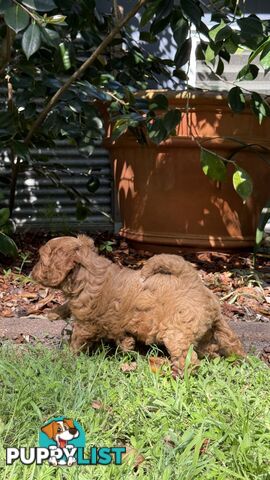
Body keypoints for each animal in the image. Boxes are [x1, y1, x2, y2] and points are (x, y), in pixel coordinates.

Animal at [32, 234, 245, 376]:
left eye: (41, 259)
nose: (32, 273)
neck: (87, 274)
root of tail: (192, 281)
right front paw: (54, 312)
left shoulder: (87, 323)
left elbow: (77, 339)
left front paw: (66, 356)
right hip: (214, 326)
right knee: (228, 343)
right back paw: (238, 360)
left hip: (177, 333)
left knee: (189, 359)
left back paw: (176, 373)